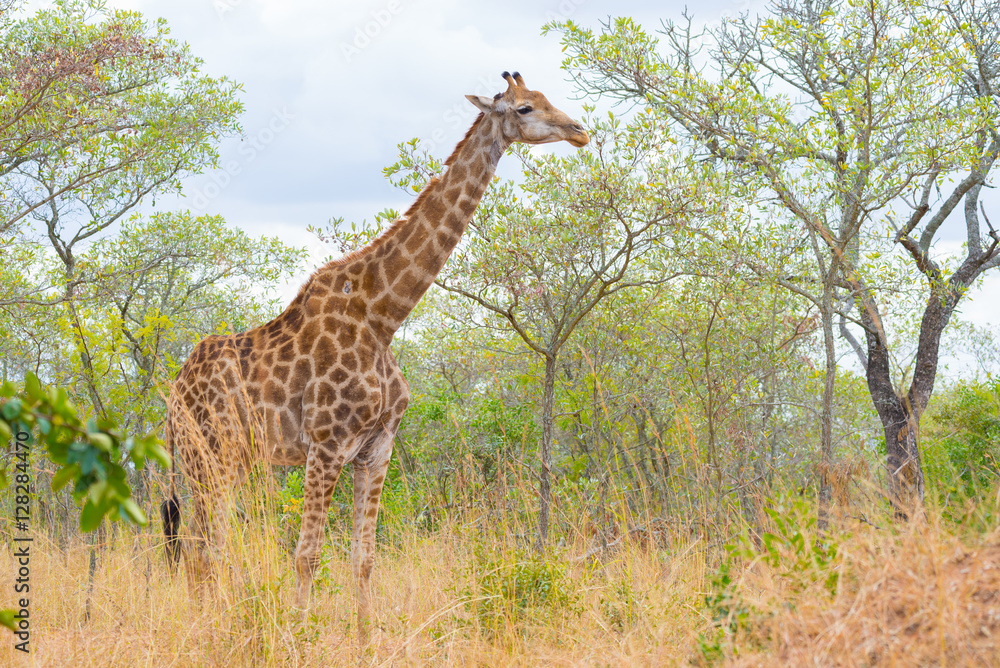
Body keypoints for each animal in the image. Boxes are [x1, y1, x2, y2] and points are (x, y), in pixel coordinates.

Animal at [162, 71, 589, 641]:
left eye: (545, 97)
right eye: (523, 108)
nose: (579, 130)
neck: (384, 315)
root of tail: (172, 397)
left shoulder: (377, 446)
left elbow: (363, 557)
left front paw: (364, 641)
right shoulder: (325, 446)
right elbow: (307, 555)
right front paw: (299, 639)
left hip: (226, 461)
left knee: (204, 547)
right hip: (208, 458)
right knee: (202, 549)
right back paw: (206, 631)